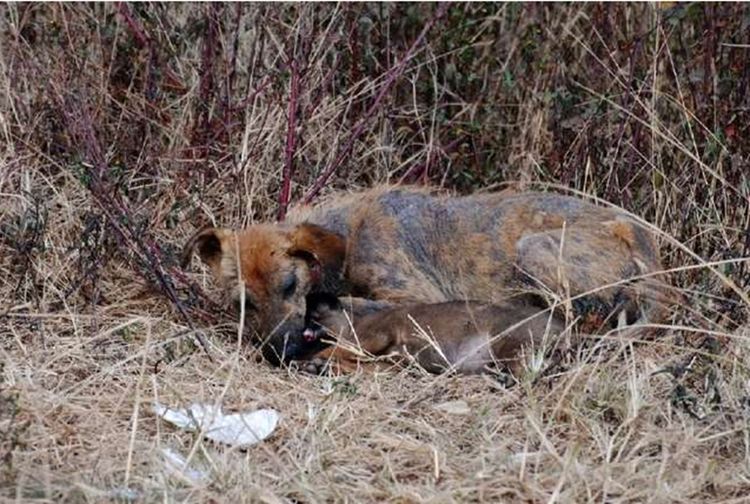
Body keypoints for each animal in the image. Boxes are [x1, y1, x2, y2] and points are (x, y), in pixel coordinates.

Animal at [302, 292, 568, 374]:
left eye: (313, 317)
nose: (304, 332)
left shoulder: (376, 333)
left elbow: (337, 350)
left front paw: (311, 362)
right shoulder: (396, 363)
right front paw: (318, 365)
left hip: (510, 341)